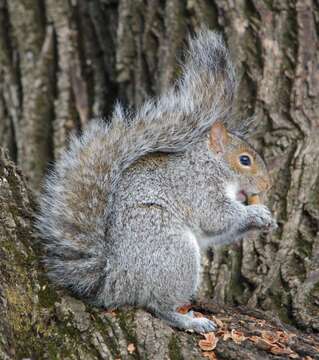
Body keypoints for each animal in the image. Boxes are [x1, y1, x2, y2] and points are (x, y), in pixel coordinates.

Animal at [37, 29, 278, 334]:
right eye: (245, 160)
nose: (267, 186)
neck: (210, 165)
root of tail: (114, 282)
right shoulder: (196, 187)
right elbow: (216, 217)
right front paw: (254, 213)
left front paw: (264, 219)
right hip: (173, 253)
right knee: (158, 305)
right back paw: (189, 320)